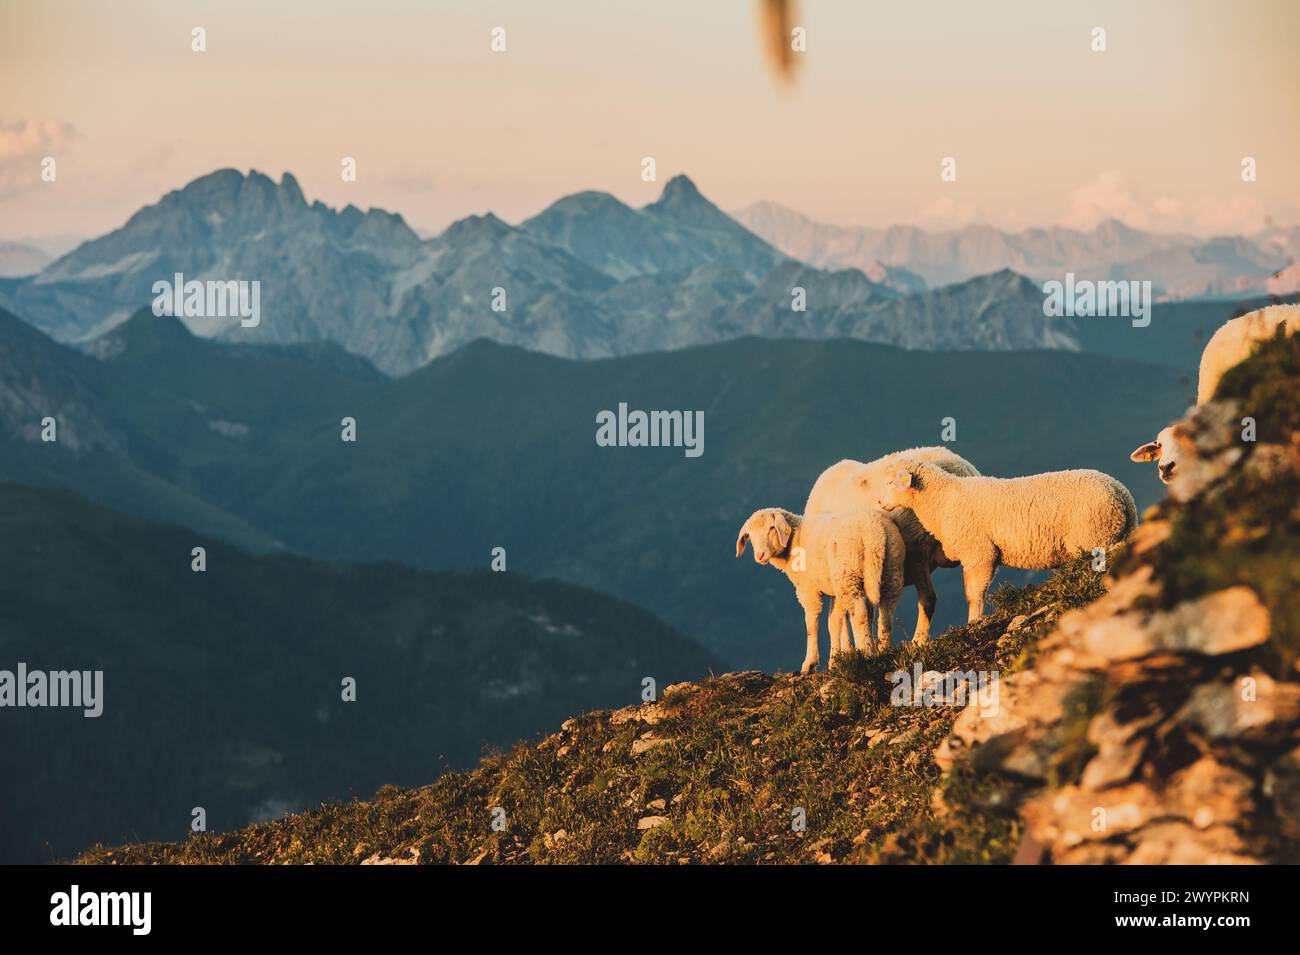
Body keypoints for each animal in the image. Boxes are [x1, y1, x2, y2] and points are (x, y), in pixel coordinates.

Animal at [735, 507, 905, 674]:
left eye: (771, 528)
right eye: (749, 535)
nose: (760, 555)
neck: (794, 541)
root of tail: (874, 531)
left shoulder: (807, 589)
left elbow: (811, 624)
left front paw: (809, 663)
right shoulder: (834, 591)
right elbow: (834, 623)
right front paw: (835, 661)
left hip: (848, 574)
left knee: (860, 614)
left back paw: (866, 654)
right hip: (890, 568)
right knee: (886, 614)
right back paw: (883, 652)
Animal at [875, 460, 1137, 624]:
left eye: (891, 482)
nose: (879, 502)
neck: (942, 499)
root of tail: (1121, 492)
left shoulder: (979, 554)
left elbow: (974, 594)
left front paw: (973, 622)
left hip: (1092, 538)